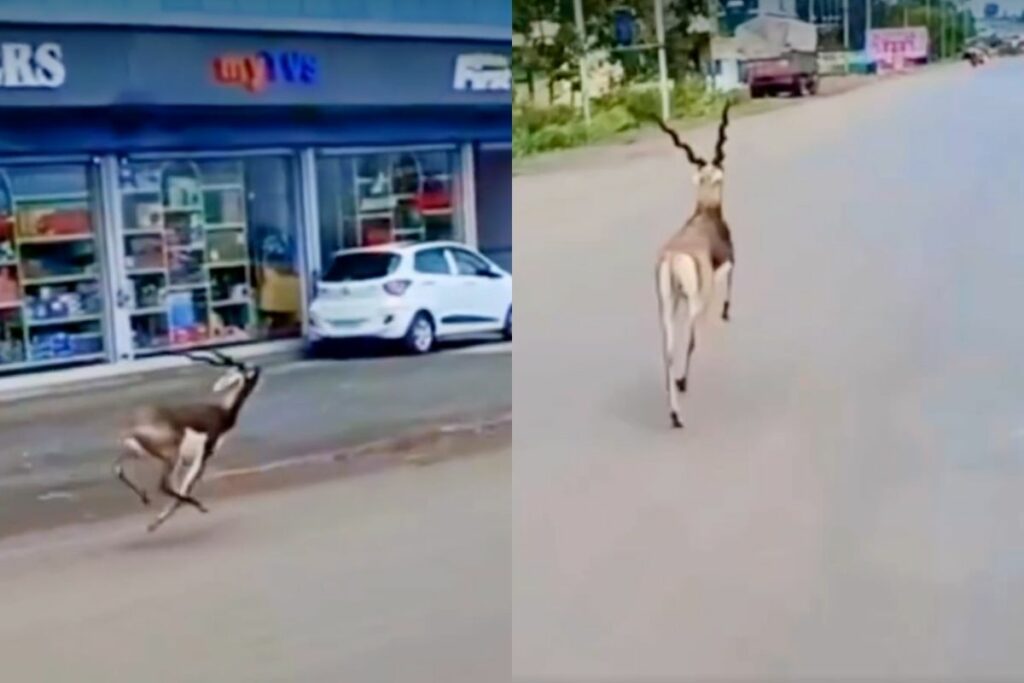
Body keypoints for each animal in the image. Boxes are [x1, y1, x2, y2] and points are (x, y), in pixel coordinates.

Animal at [113, 349, 263, 532]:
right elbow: (186, 487)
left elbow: (182, 488)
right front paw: (157, 521)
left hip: (137, 453)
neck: (223, 412)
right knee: (163, 486)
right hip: (171, 456)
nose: (259, 368)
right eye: (248, 371)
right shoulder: (202, 456)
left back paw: (145, 498)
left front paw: (156, 520)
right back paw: (198, 505)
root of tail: (133, 428)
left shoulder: (187, 461)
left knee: (118, 469)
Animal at [650, 101, 734, 429]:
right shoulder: (728, 269)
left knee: (668, 347)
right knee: (689, 340)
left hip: (666, 302)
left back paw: (673, 406)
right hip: (694, 300)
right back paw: (681, 392)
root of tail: (674, 257)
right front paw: (727, 313)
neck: (705, 212)